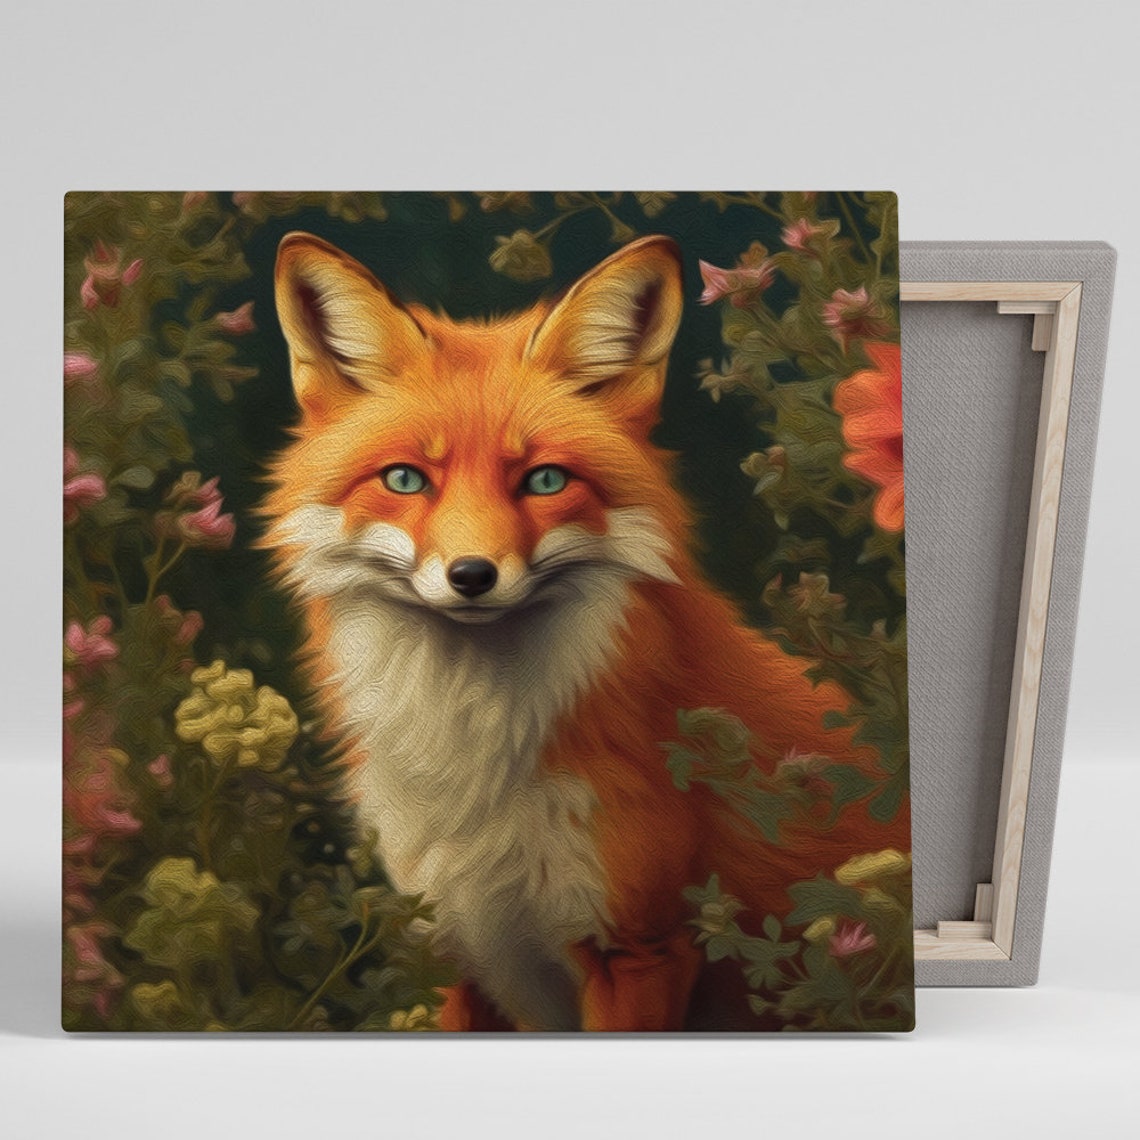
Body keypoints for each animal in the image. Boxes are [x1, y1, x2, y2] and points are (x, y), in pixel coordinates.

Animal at [261, 230, 909, 1032]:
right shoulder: (448, 950)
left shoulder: (641, 949)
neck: (475, 758)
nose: (472, 575)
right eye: (406, 480)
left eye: (544, 481)